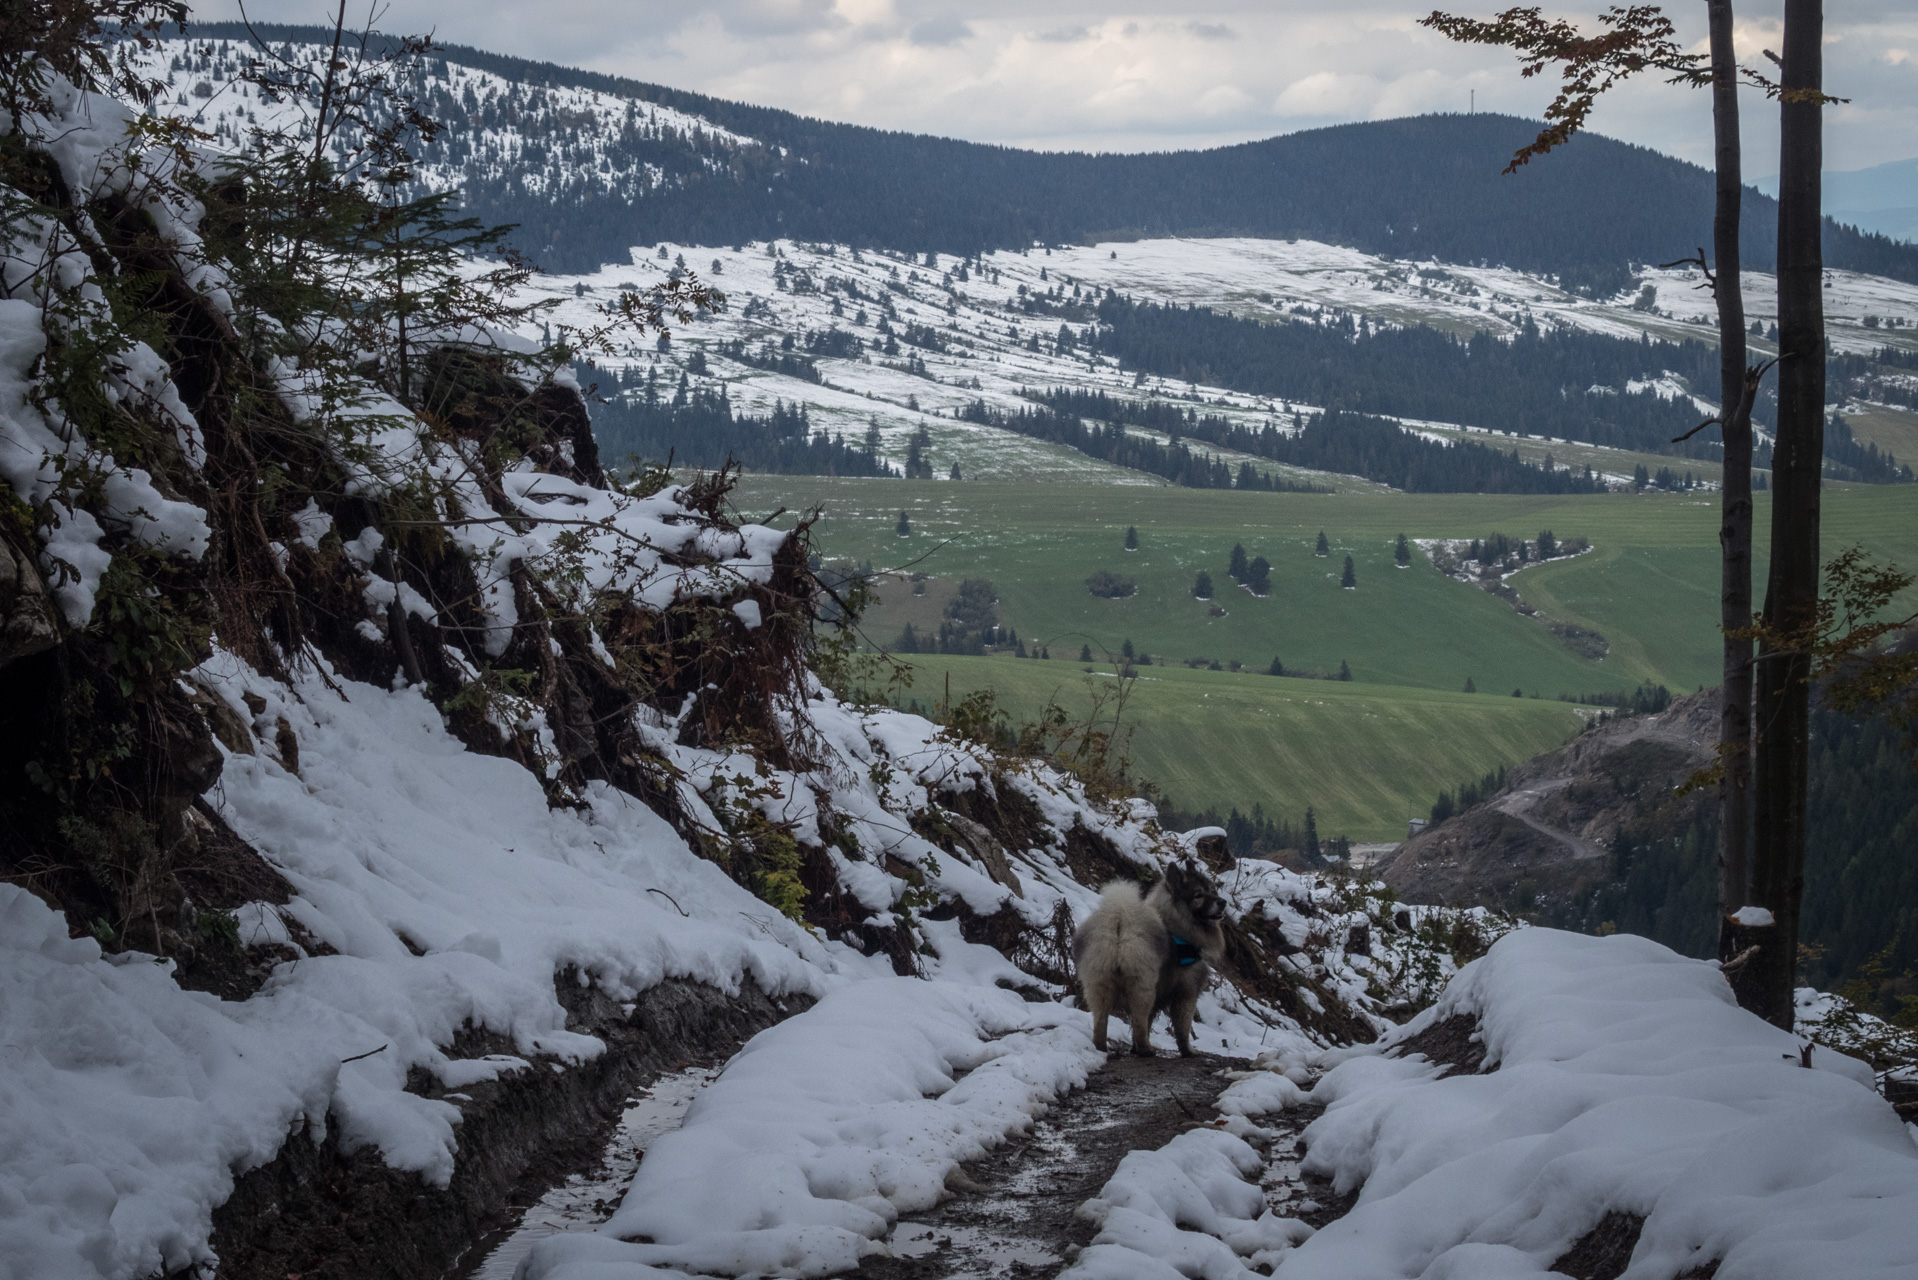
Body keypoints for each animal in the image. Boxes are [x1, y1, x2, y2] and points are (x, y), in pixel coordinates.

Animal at [1066, 859, 1227, 1059]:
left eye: (1213, 891)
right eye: (1198, 895)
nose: (1222, 902)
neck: (1175, 925)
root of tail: (1119, 920)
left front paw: (1133, 1049)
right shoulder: (1187, 991)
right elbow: (1182, 1027)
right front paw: (1188, 1051)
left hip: (1098, 983)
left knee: (1101, 1020)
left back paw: (1101, 1047)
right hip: (1143, 986)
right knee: (1139, 1020)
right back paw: (1146, 1049)